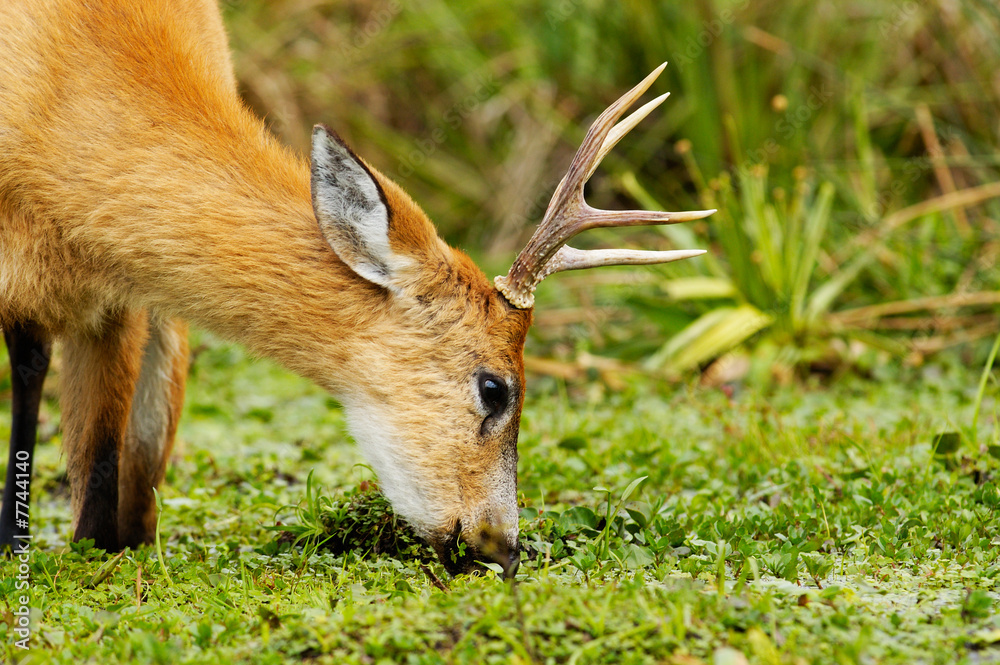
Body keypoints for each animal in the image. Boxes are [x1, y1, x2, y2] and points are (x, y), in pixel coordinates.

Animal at [0, 0, 713, 578]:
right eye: (496, 388)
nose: (502, 546)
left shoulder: (120, 299)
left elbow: (101, 453)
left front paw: (97, 549)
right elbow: (33, 373)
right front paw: (17, 548)